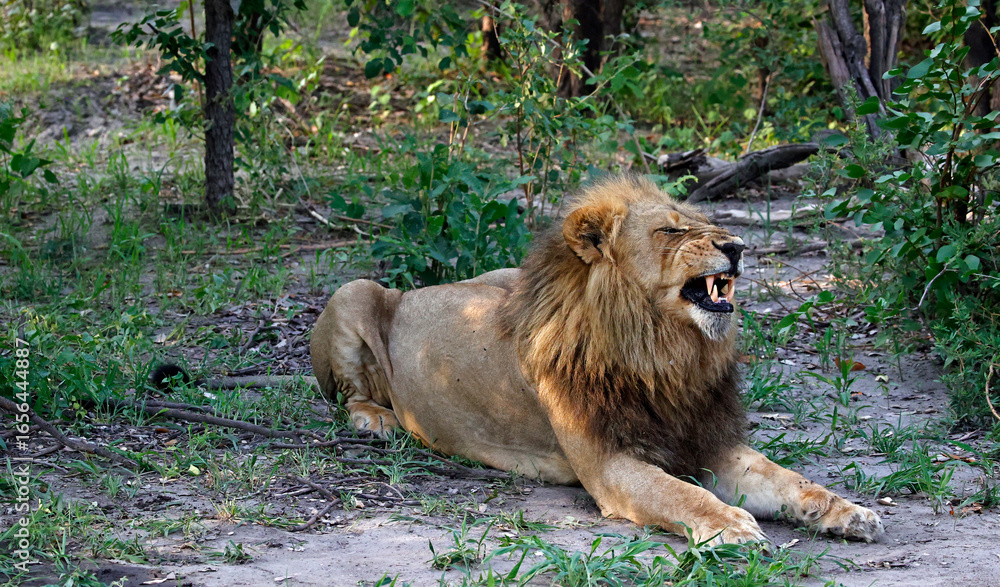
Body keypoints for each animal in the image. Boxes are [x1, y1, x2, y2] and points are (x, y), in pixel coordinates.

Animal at [310, 175, 883, 545]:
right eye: (671, 231)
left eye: (706, 223)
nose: (739, 246)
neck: (664, 353)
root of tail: (416, 291)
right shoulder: (609, 463)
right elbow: (677, 494)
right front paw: (730, 524)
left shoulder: (702, 438)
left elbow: (786, 477)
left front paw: (847, 511)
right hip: (352, 291)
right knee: (349, 395)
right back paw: (377, 421)